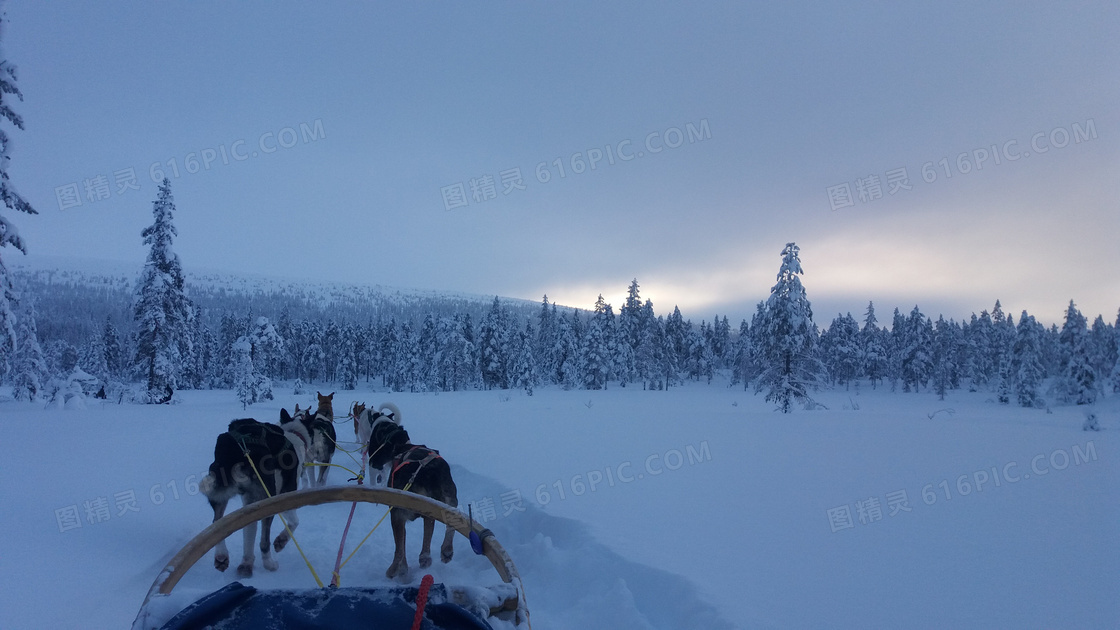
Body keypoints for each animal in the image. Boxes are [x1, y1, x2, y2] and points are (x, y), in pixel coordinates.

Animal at [198, 410, 311, 578]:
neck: (292, 434)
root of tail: (237, 450)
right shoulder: (285, 494)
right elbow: (294, 522)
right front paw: (281, 540)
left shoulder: (250, 502)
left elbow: (249, 532)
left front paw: (246, 564)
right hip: (268, 497)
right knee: (264, 541)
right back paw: (269, 563)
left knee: (216, 521)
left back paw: (221, 556)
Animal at [362, 408, 459, 578]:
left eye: (378, 445)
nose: (373, 461)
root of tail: (426, 471)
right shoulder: (429, 515)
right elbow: (425, 540)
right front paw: (424, 559)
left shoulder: (398, 514)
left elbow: (401, 545)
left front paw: (402, 568)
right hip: (449, 498)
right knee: (452, 521)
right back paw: (445, 550)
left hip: (397, 512)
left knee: (399, 550)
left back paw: (394, 569)